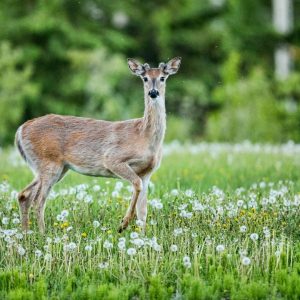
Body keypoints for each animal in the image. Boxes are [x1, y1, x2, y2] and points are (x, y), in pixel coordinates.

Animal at [15, 56, 180, 234]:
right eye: (145, 78)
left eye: (162, 77)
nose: (153, 93)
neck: (144, 136)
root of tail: (21, 129)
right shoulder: (113, 158)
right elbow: (136, 185)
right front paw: (123, 224)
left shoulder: (147, 172)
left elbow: (143, 210)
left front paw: (142, 237)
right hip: (49, 162)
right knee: (38, 200)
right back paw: (42, 234)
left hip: (55, 168)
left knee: (24, 195)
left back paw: (26, 234)